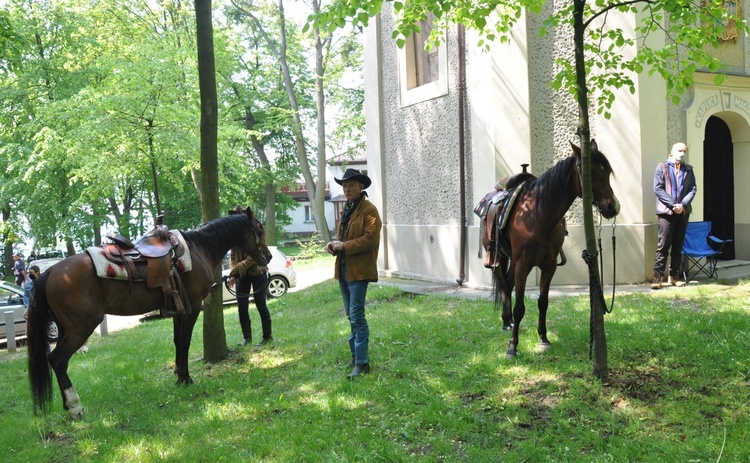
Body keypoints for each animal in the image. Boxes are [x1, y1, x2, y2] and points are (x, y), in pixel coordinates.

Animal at [27, 210, 272, 420]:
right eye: (259, 230)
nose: (268, 257)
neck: (198, 248)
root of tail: (49, 272)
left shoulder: (178, 308)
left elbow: (177, 340)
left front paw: (178, 374)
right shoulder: (192, 306)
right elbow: (185, 341)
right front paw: (186, 377)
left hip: (65, 328)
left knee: (57, 361)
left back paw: (66, 405)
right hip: (81, 328)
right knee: (57, 359)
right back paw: (75, 407)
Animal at [484, 141, 620, 358]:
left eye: (607, 171)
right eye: (588, 172)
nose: (612, 207)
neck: (538, 214)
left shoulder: (549, 266)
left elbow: (543, 302)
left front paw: (544, 339)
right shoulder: (523, 265)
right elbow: (520, 307)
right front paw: (513, 346)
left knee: (508, 282)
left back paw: (508, 322)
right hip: (497, 260)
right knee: (504, 285)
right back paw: (506, 322)